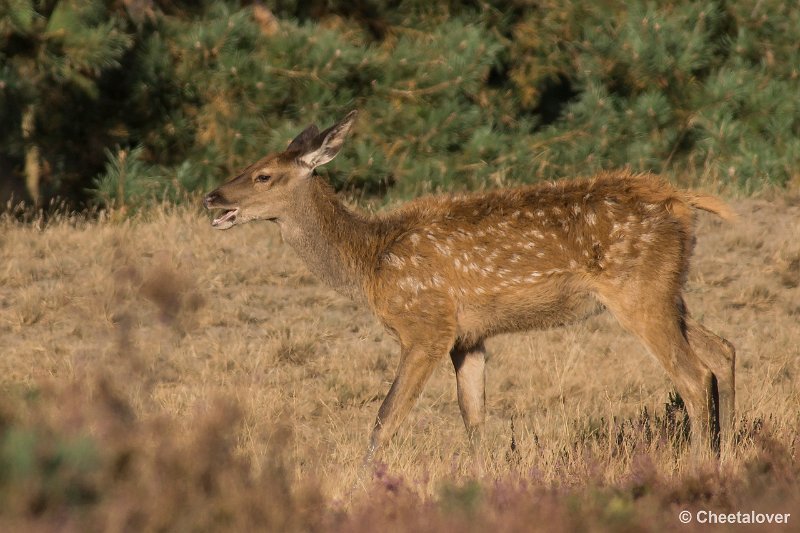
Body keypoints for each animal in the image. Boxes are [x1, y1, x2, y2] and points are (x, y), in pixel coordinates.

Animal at [205, 110, 736, 464]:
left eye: (263, 175)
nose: (212, 197)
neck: (370, 262)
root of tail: (680, 199)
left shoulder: (427, 326)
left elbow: (385, 417)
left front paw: (366, 479)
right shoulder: (469, 336)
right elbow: (474, 417)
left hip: (638, 290)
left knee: (693, 374)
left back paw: (699, 462)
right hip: (669, 289)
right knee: (723, 350)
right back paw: (729, 451)